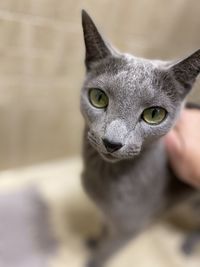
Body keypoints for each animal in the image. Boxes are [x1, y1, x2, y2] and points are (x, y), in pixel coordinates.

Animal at [79, 9, 200, 266]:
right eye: (98, 98)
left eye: (154, 114)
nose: (112, 142)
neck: (104, 177)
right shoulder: (108, 217)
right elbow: (104, 229)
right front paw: (95, 240)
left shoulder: (129, 228)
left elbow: (107, 250)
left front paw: (94, 258)